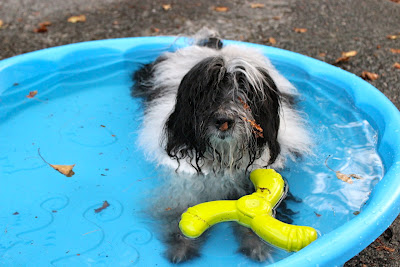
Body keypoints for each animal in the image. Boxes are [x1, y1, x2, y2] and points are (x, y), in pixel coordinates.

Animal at [131, 29, 312, 264]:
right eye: (206, 93)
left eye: (246, 92)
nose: (224, 120)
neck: (223, 157)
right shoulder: (183, 184)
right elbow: (180, 212)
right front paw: (182, 246)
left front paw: (256, 245)